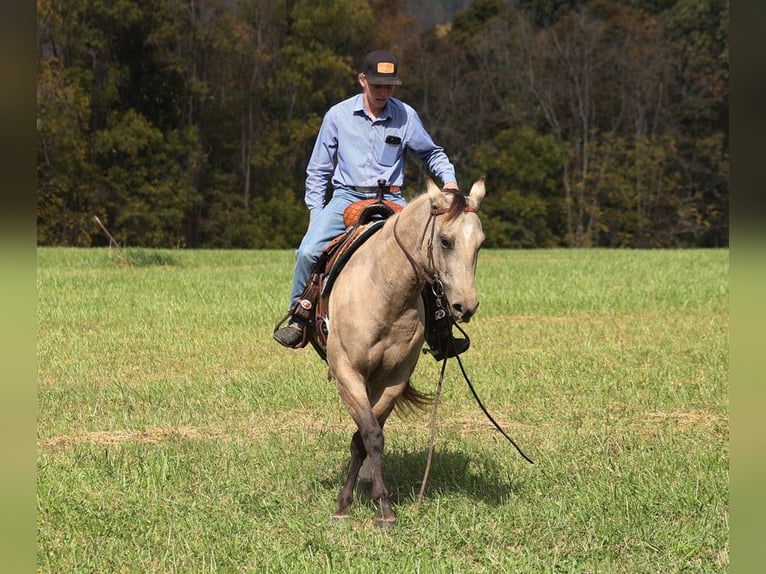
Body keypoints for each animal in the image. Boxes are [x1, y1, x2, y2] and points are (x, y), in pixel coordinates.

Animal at [326, 177, 486, 526]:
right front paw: (353, 506)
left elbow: (365, 437)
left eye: (480, 244)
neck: (385, 291)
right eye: (445, 240)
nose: (465, 307)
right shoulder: (347, 373)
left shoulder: (393, 378)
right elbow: (370, 434)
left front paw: (376, 504)